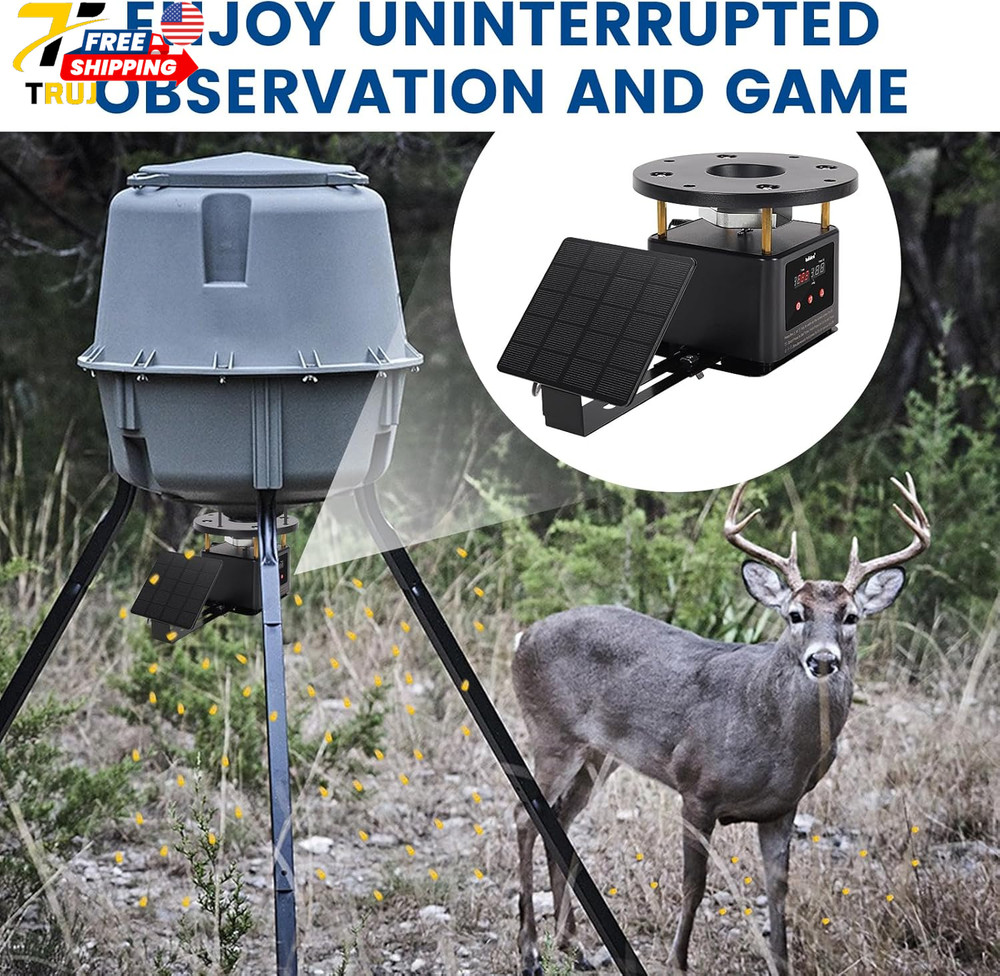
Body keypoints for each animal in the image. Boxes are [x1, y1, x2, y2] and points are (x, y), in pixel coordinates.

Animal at [512, 474, 930, 976]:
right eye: (794, 614)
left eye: (851, 617)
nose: (823, 659)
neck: (774, 741)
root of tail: (524, 636)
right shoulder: (697, 789)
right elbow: (694, 885)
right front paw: (677, 962)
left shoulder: (783, 807)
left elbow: (778, 891)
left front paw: (781, 964)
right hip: (551, 732)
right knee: (524, 816)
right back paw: (531, 950)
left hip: (598, 753)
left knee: (559, 818)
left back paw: (572, 944)